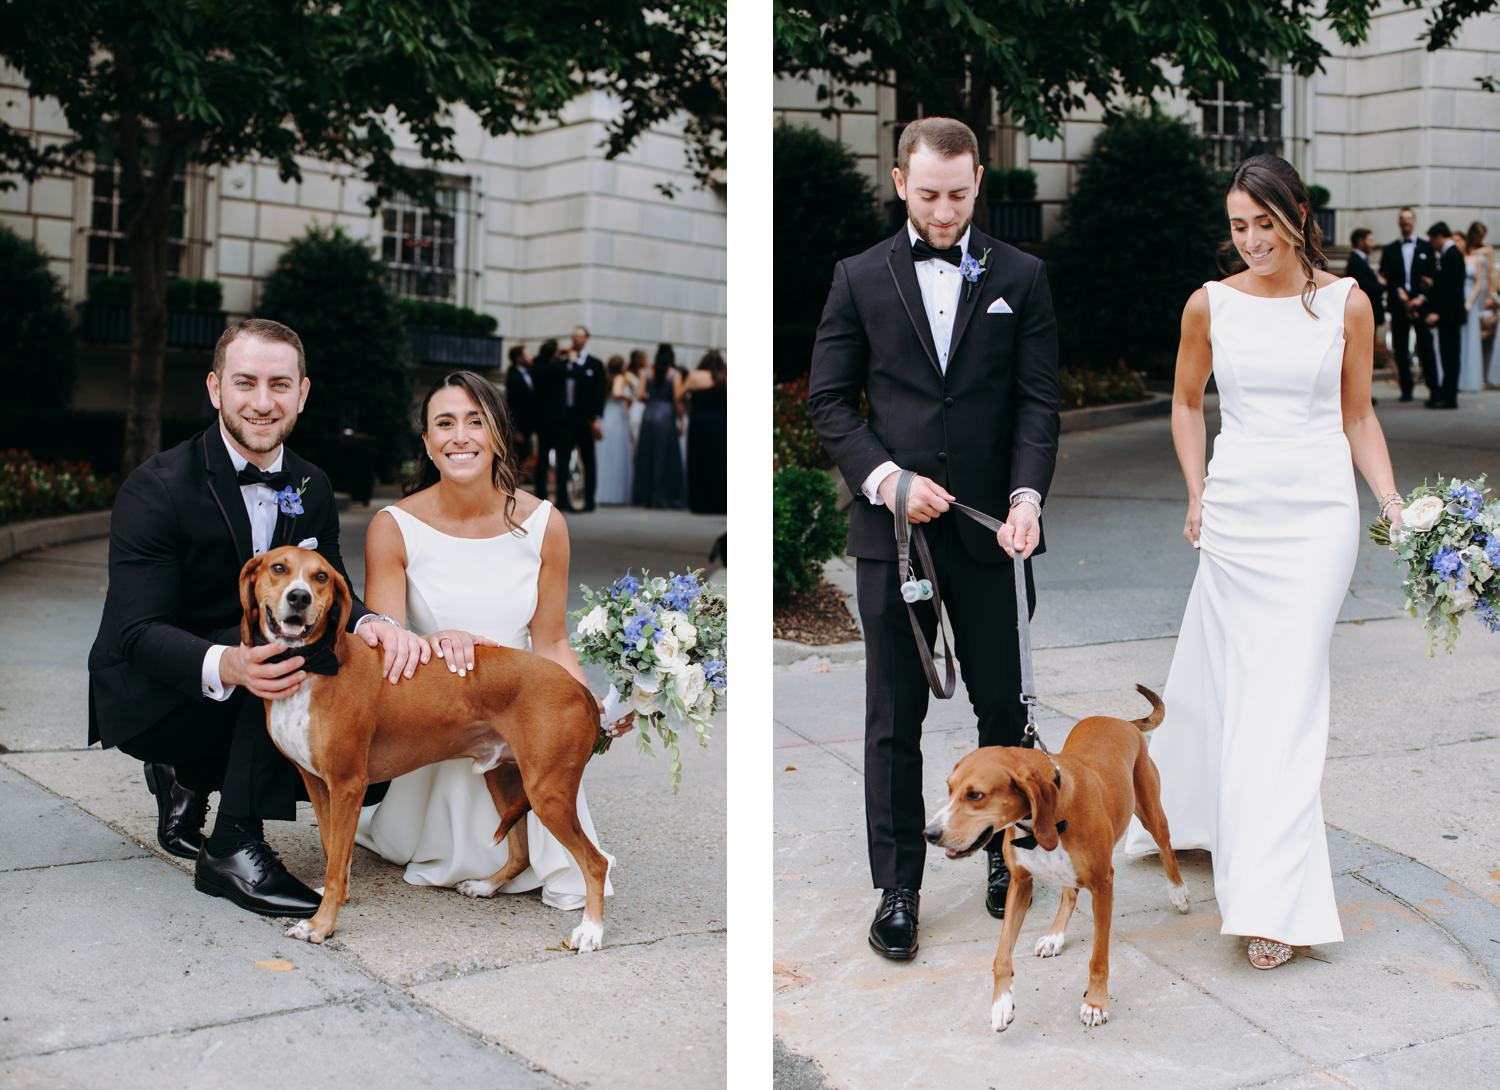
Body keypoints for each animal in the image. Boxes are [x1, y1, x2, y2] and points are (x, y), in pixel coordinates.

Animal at [237, 548, 606, 953]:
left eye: (320, 577)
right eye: (279, 568)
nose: (299, 598)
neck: (313, 665)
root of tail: (579, 688)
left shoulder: (348, 786)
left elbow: (335, 865)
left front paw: (321, 925)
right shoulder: (318, 784)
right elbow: (333, 850)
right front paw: (336, 900)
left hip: (547, 794)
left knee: (596, 864)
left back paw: (591, 930)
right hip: (505, 781)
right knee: (521, 853)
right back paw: (486, 885)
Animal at [918, 686, 1188, 1037]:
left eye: (975, 795)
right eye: (950, 789)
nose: (929, 833)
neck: (1043, 818)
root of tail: (1122, 721)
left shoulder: (1103, 884)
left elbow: (1099, 957)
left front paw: (1096, 1003)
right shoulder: (1020, 884)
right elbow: (1001, 954)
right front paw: (1001, 1002)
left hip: (1151, 812)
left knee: (1167, 848)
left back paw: (1178, 892)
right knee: (1069, 892)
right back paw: (1055, 935)